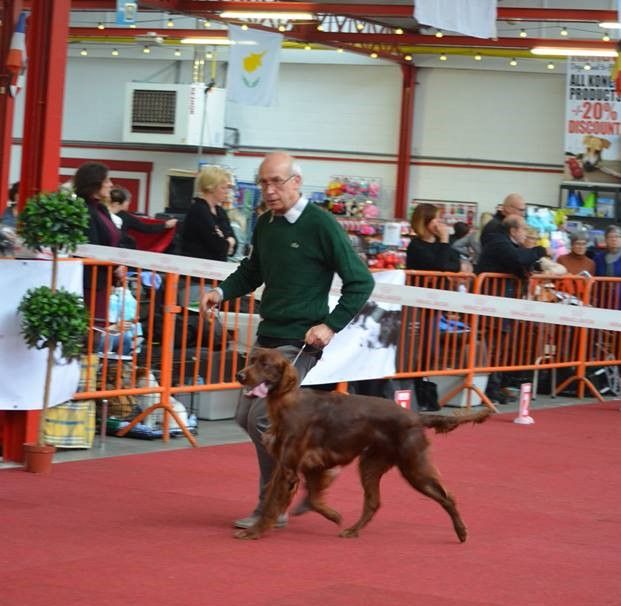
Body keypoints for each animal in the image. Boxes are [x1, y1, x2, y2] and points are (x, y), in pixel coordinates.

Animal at [235, 350, 492, 544]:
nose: (239, 375)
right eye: (251, 360)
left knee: (447, 497)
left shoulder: (290, 467)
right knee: (373, 502)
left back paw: (462, 532)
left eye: (266, 364)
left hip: (414, 466)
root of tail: (415, 416)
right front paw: (332, 515)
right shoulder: (309, 464)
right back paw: (352, 530)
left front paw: (254, 532)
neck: (286, 404)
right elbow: (310, 498)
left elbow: (272, 503)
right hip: (371, 464)